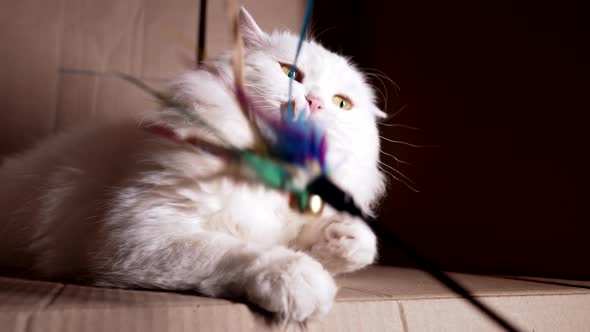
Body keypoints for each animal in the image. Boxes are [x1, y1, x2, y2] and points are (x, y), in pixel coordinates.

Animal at [0, 9, 386, 322]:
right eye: (290, 73)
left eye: (341, 103)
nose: (316, 103)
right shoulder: (136, 232)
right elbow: (231, 250)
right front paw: (298, 278)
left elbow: (351, 246)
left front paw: (344, 239)